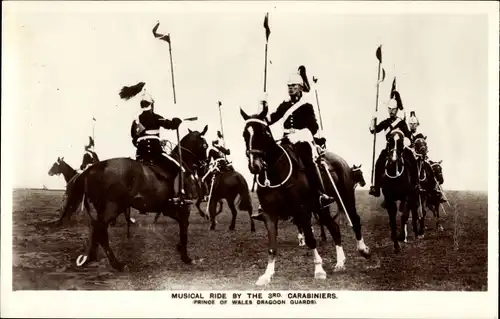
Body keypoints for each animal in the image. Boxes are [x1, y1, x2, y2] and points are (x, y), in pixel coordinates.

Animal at [60, 126, 209, 272]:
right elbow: (184, 230)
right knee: (101, 231)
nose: (205, 166)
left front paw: (180, 249)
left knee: (94, 230)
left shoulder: (170, 209)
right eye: (205, 146)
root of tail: (93, 168)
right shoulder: (183, 209)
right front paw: (186, 257)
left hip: (96, 209)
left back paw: (89, 257)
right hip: (113, 208)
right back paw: (116, 264)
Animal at [240, 106, 370, 286]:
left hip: (346, 198)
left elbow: (310, 239)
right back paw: (340, 263)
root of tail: (341, 161)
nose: (255, 165)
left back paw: (363, 249)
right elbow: (272, 246)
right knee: (334, 228)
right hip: (320, 208)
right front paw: (267, 275)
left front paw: (319, 270)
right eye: (245, 134)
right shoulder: (269, 214)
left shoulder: (301, 210)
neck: (275, 173)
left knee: (355, 220)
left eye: (264, 132)